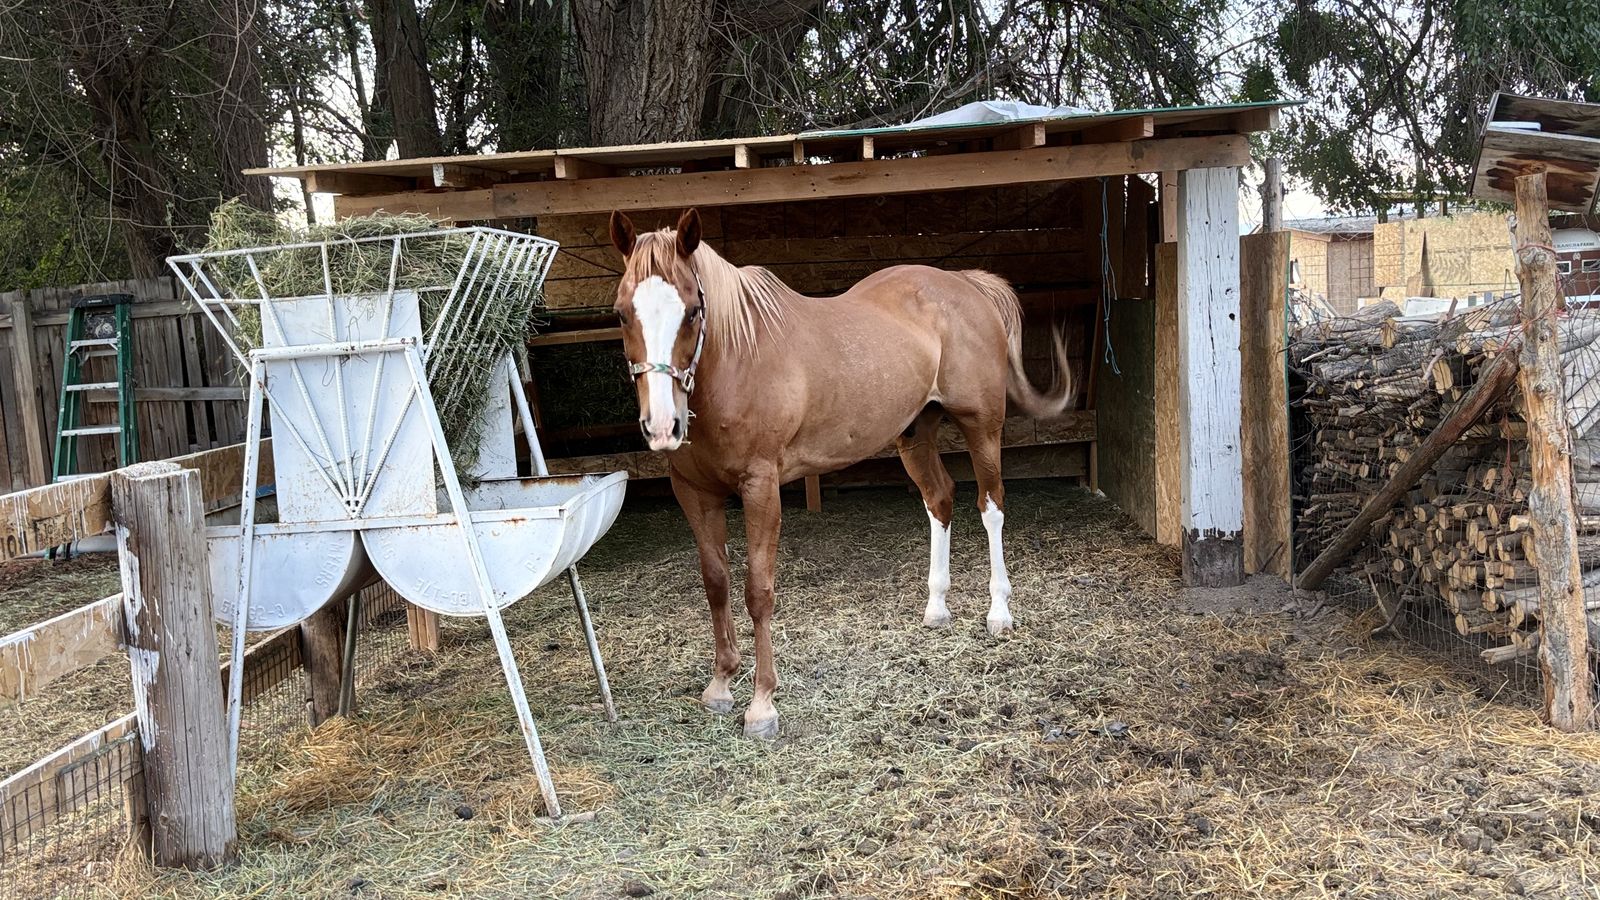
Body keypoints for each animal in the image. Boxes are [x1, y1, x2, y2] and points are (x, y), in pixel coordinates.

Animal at [608, 208, 1073, 739]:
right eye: (621, 313)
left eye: (690, 311)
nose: (663, 426)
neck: (736, 359)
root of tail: (966, 285)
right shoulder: (694, 491)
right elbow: (716, 583)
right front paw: (721, 684)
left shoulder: (761, 488)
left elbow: (757, 591)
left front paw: (762, 705)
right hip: (915, 431)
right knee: (940, 499)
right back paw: (936, 607)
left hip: (982, 426)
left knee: (990, 506)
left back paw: (999, 612)